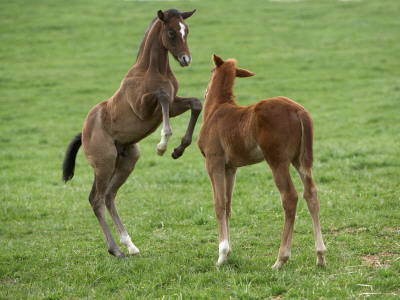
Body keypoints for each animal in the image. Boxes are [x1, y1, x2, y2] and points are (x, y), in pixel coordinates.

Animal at [61, 9, 202, 258]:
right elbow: (162, 94)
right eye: (171, 32)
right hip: (104, 163)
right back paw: (116, 250)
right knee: (96, 199)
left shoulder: (174, 105)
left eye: (186, 29)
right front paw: (162, 144)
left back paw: (130, 245)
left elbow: (195, 103)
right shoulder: (144, 107)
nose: (186, 60)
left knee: (109, 196)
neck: (153, 70)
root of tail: (84, 132)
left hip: (128, 160)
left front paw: (178, 149)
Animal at [198, 55, 326, 268]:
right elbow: (228, 205)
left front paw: (222, 255)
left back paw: (280, 260)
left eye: (210, 71)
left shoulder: (213, 162)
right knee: (311, 193)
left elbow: (219, 204)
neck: (216, 110)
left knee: (290, 197)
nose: (205, 91)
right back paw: (320, 256)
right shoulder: (230, 167)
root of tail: (298, 110)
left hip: (277, 161)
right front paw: (229, 252)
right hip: (299, 160)